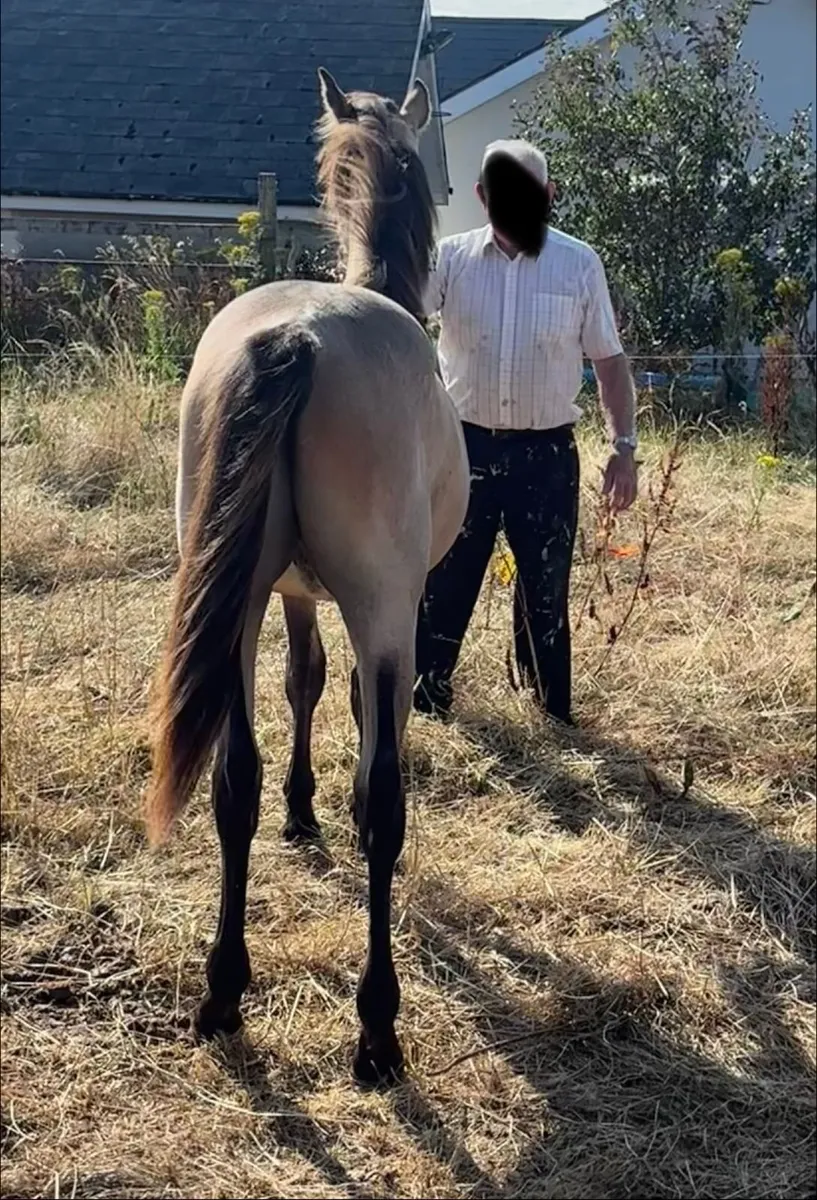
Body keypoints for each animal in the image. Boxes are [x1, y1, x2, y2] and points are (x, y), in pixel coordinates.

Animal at [144, 68, 470, 1085]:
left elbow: (302, 683)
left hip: (238, 602)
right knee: (385, 802)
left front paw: (297, 810)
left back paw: (222, 991)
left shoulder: (287, 593)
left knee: (231, 780)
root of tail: (297, 337)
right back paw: (377, 1029)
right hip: (377, 606)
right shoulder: (386, 614)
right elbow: (361, 719)